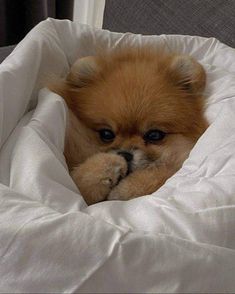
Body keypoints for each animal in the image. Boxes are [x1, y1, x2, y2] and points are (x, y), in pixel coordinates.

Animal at [49, 47, 207, 206]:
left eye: (154, 135)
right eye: (106, 134)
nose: (125, 155)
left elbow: (164, 171)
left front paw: (126, 189)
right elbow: (79, 184)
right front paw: (106, 165)